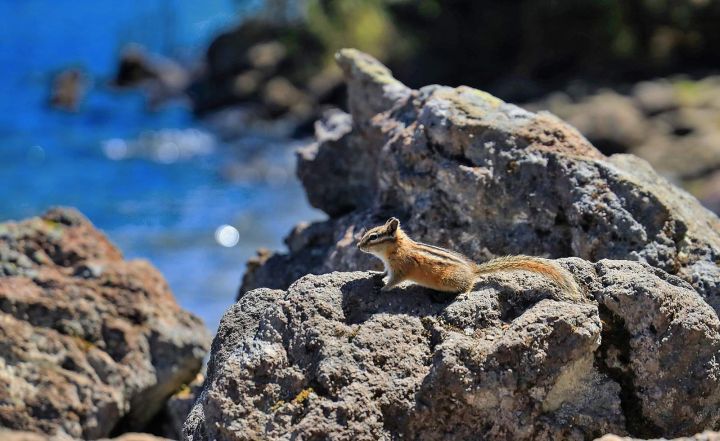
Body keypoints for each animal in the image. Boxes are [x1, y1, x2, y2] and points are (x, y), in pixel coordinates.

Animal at [357, 217, 581, 298]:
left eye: (373, 237)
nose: (358, 246)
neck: (395, 249)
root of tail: (473, 269)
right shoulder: (389, 265)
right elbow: (384, 272)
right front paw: (375, 274)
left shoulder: (401, 268)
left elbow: (394, 280)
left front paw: (383, 289)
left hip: (449, 279)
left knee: (471, 283)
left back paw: (464, 294)